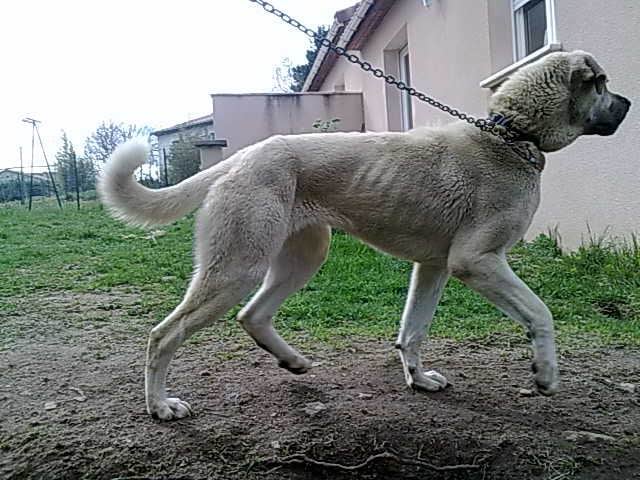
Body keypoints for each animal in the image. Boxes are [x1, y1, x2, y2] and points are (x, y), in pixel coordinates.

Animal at [100, 51, 632, 420]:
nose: (628, 103)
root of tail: (242, 157)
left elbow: (412, 330)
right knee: (162, 335)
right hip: (237, 267)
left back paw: (293, 362)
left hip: (301, 258)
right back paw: (160, 406)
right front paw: (546, 375)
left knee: (252, 316)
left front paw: (418, 380)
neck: (510, 134)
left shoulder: (433, 267)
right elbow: (541, 313)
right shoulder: (477, 261)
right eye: (602, 83)